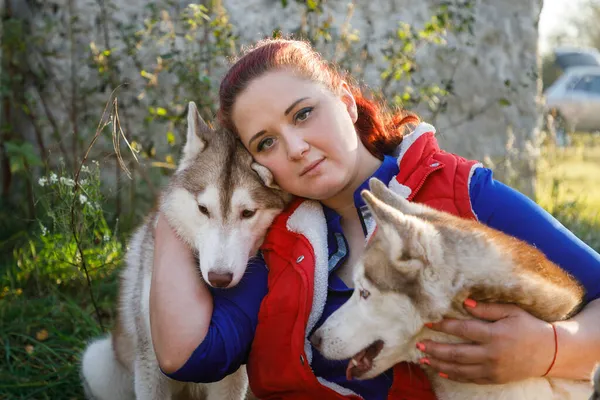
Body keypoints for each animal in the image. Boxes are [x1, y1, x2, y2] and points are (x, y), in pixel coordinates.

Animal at [80, 101, 290, 398]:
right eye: (203, 209)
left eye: (248, 213)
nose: (219, 278)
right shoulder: (151, 361)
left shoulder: (233, 374)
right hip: (97, 362)